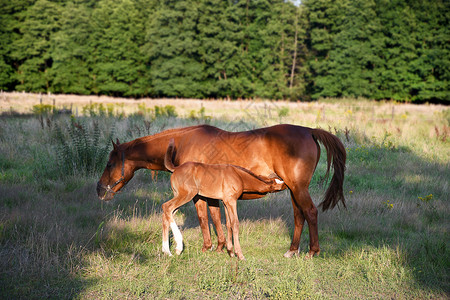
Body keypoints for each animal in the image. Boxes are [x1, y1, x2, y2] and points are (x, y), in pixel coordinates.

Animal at [96, 124, 346, 258]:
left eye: (109, 164)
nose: (99, 190)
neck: (182, 143)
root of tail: (309, 130)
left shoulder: (197, 196)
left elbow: (204, 218)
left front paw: (205, 247)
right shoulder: (213, 195)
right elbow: (216, 218)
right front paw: (221, 247)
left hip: (298, 188)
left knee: (310, 212)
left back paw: (313, 252)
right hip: (293, 189)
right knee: (298, 216)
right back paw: (291, 251)